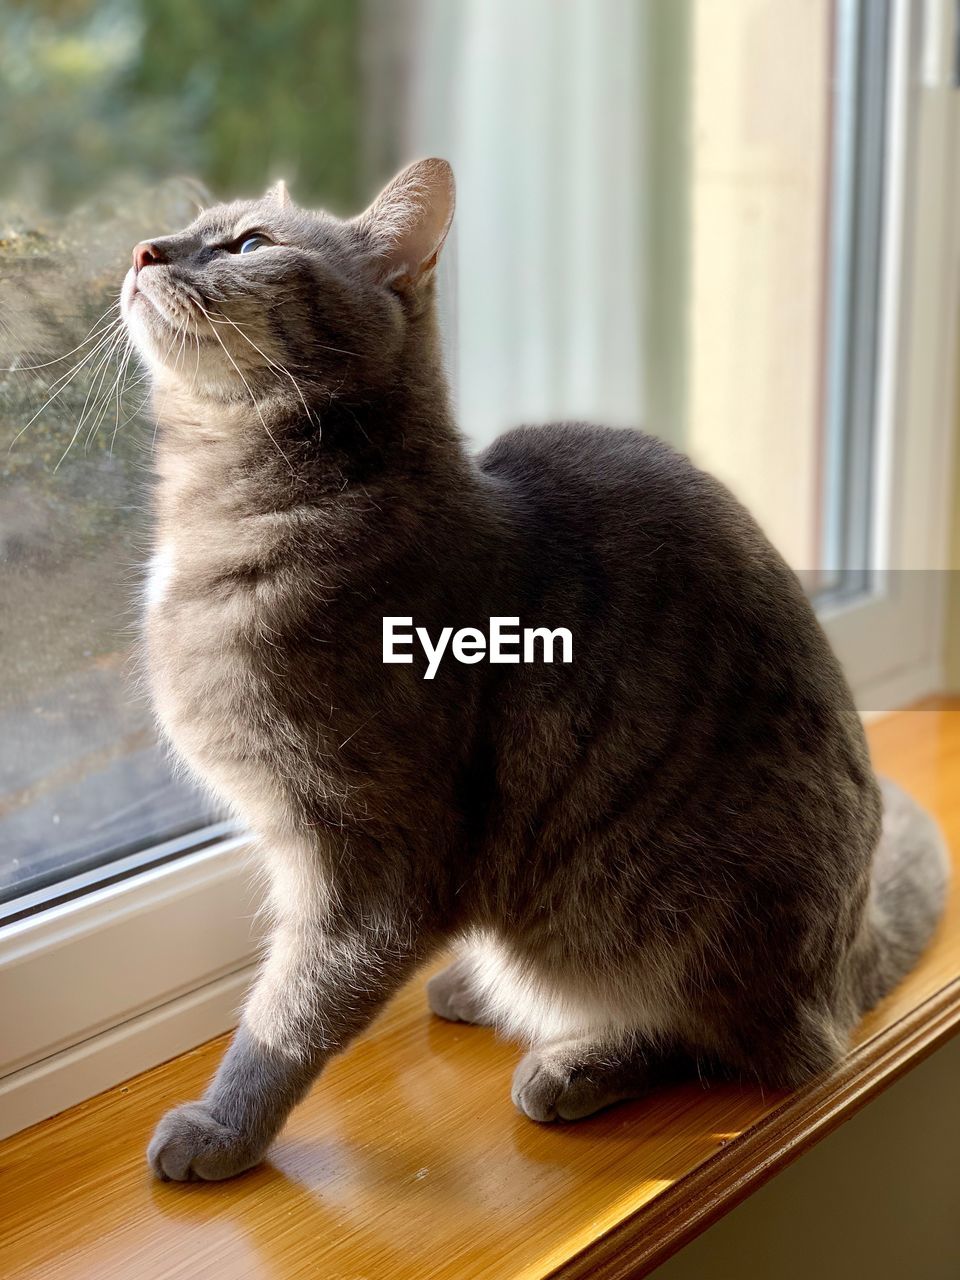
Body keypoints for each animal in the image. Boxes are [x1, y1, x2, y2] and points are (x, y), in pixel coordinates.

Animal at [118, 157, 947, 1177]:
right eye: (200, 227)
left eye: (249, 244)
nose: (145, 250)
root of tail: (845, 961)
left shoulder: (370, 864)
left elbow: (291, 1010)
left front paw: (223, 1125)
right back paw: (481, 989)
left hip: (691, 915)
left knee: (741, 1042)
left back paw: (575, 1060)